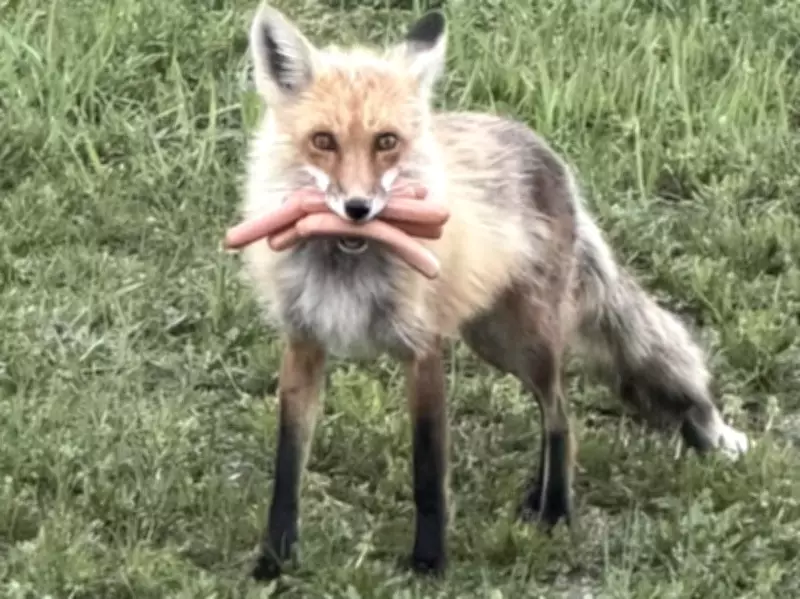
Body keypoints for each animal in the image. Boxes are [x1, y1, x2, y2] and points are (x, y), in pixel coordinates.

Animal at [235, 2, 750, 581]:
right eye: (323, 141)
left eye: (386, 142)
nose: (358, 208)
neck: (348, 262)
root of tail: (547, 152)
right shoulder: (303, 344)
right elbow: (287, 467)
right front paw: (273, 561)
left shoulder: (423, 348)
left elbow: (428, 469)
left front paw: (430, 564)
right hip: (492, 338)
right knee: (556, 412)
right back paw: (534, 498)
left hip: (526, 341)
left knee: (561, 416)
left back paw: (555, 512)